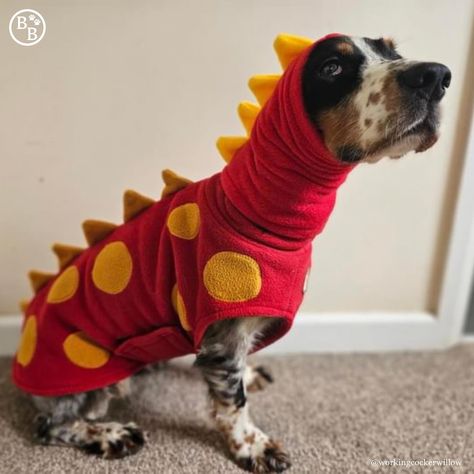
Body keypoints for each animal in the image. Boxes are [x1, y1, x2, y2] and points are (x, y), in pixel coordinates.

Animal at [15, 34, 452, 474]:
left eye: (394, 52)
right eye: (331, 67)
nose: (436, 76)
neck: (254, 213)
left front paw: (251, 374)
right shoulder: (224, 334)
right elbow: (232, 401)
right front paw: (251, 445)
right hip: (87, 375)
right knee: (51, 425)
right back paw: (110, 433)